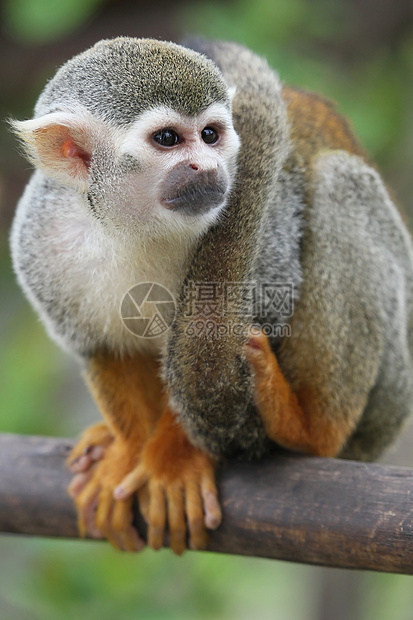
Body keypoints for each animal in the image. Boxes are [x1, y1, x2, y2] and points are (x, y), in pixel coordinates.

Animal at [8, 37, 412, 552]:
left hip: (388, 396)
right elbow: (103, 348)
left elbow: (259, 315)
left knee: (341, 182)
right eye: (167, 139)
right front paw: (130, 452)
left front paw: (173, 460)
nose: (209, 166)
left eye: (211, 134)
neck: (138, 228)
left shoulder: (267, 213)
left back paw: (307, 427)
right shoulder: (42, 235)